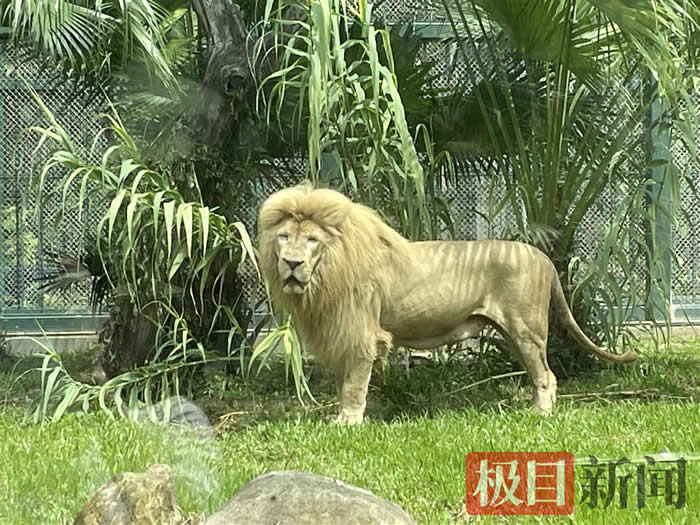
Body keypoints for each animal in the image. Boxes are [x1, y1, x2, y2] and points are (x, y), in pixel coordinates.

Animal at [258, 182, 640, 424]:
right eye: (284, 237)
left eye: (311, 240)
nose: (291, 263)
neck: (325, 275)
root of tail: (543, 256)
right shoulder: (341, 335)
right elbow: (343, 384)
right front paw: (340, 418)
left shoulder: (362, 336)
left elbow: (353, 386)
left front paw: (349, 423)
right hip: (513, 335)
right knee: (540, 373)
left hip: (526, 330)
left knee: (547, 374)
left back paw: (541, 414)